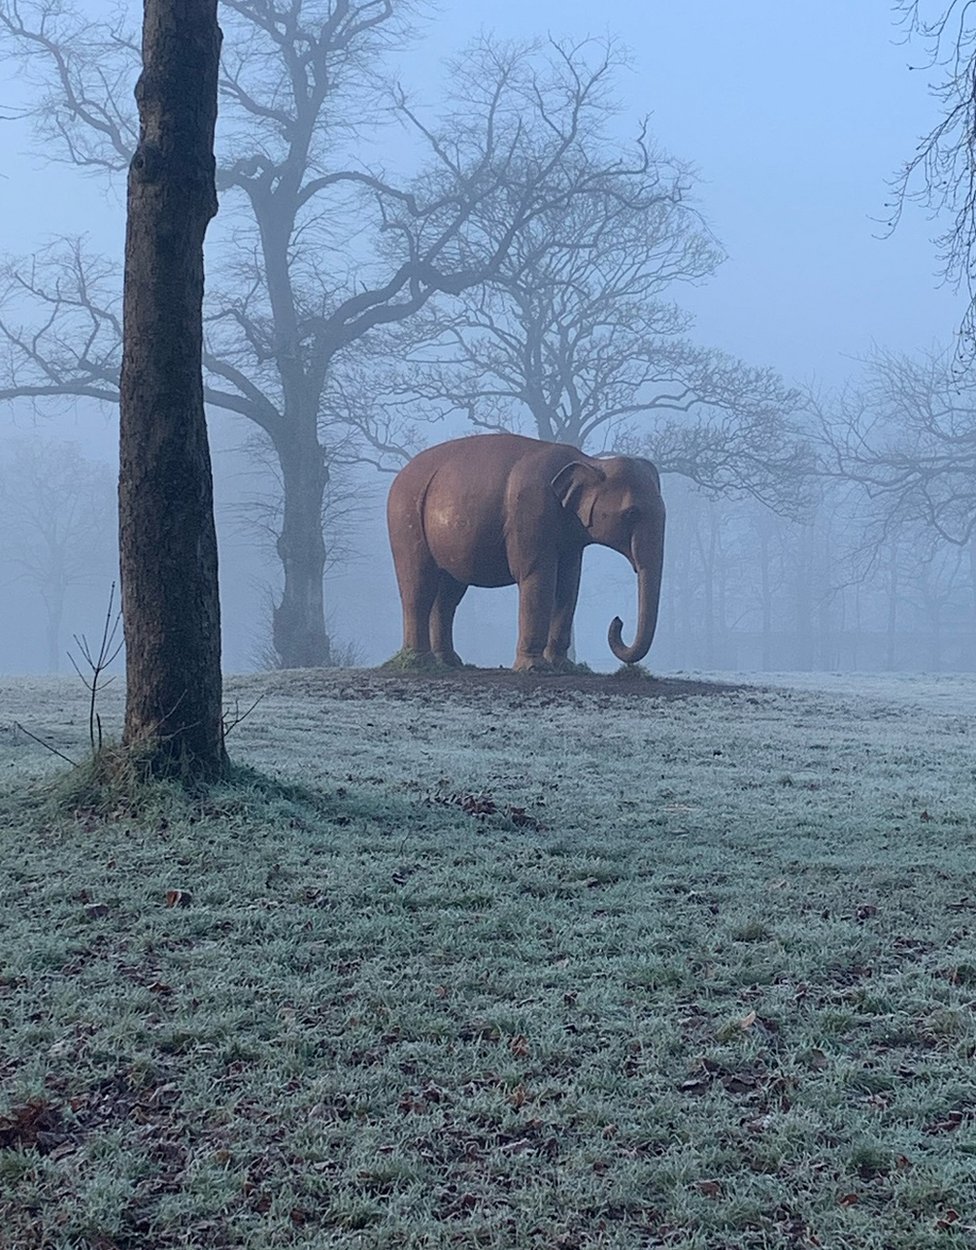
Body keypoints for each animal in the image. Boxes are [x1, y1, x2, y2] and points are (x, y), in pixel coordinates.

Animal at [384, 435, 664, 680]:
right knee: (418, 588)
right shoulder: (531, 511)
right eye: (631, 513)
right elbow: (539, 578)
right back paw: (418, 662)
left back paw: (450, 662)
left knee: (449, 595)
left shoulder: (570, 537)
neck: (589, 461)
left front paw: (562, 666)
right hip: (404, 519)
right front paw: (534, 668)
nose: (617, 620)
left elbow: (568, 585)